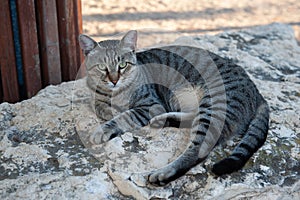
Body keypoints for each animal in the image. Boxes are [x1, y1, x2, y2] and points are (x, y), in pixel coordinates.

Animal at [78, 30, 270, 186]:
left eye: (122, 65)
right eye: (102, 67)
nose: (114, 80)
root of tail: (257, 93)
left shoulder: (151, 105)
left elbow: (123, 116)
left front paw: (103, 129)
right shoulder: (99, 100)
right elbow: (101, 107)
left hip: (213, 104)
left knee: (198, 150)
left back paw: (163, 173)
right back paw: (164, 121)